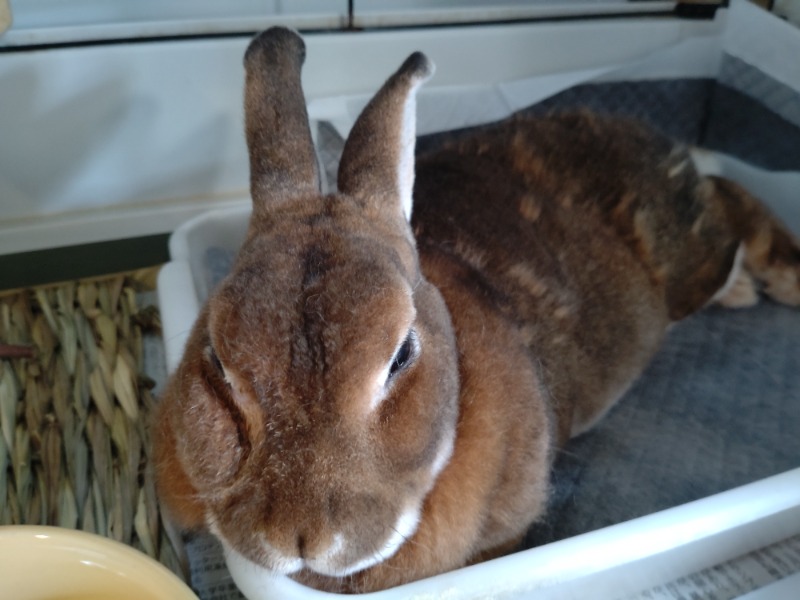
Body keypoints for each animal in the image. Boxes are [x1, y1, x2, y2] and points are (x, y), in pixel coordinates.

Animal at [150, 25, 800, 592]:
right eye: (217, 359)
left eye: (401, 355)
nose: (301, 537)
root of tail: (656, 137)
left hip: (688, 259)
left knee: (728, 201)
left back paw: (780, 280)